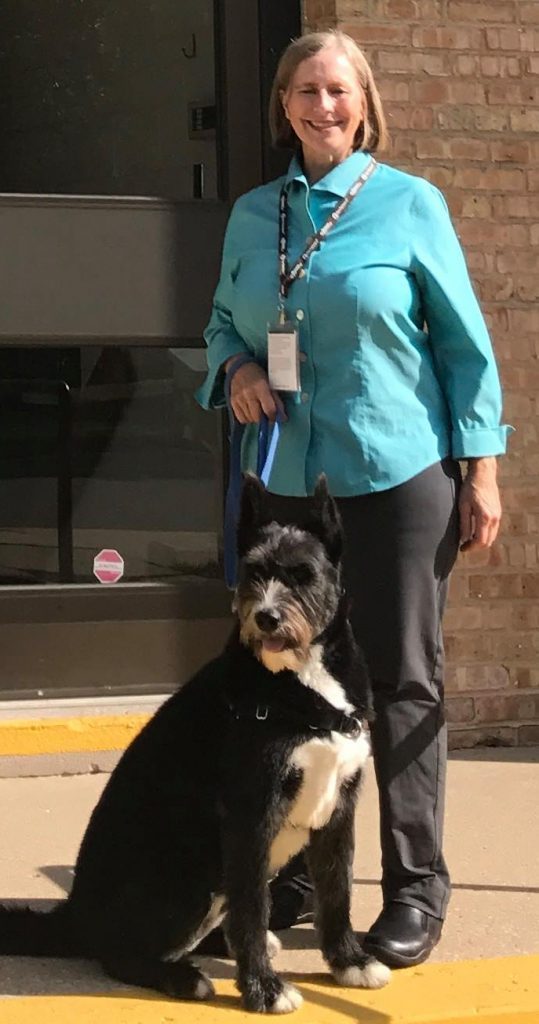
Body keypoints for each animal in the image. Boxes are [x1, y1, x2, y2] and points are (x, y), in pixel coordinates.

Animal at [0, 475, 391, 1011]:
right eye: (253, 572)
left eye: (302, 574)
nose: (266, 617)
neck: (299, 681)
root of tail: (74, 915)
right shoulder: (252, 814)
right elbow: (252, 908)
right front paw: (264, 988)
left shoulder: (339, 810)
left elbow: (337, 891)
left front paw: (349, 962)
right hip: (188, 878)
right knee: (120, 955)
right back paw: (183, 977)